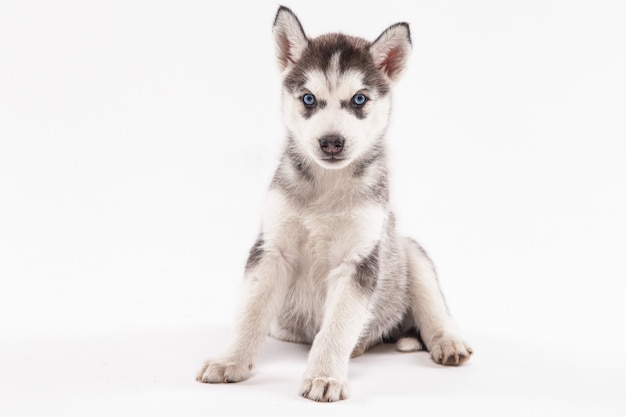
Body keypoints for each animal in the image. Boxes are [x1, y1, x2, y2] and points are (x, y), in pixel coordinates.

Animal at [197, 6, 470, 402]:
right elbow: (249, 313)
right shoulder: (272, 249)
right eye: (309, 99)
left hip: (408, 251)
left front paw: (325, 376)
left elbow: (338, 326)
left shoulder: (358, 260)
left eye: (359, 99)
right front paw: (230, 361)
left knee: (432, 306)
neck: (326, 188)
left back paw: (447, 342)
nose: (331, 142)